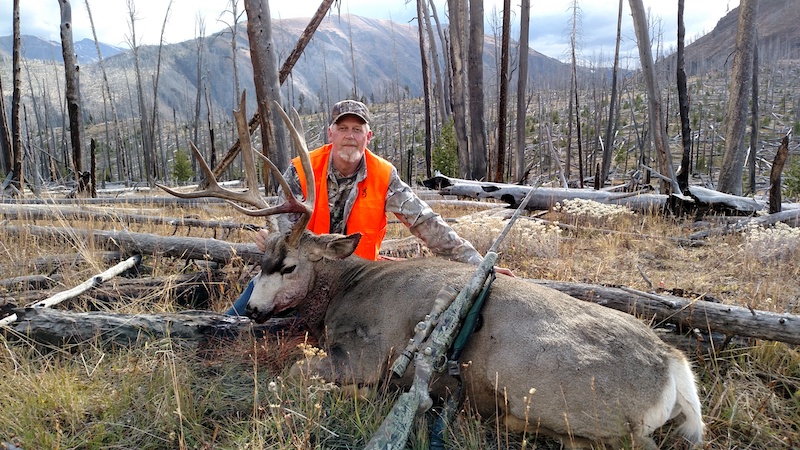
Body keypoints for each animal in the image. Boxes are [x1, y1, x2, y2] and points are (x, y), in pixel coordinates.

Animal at [159, 96, 705, 450]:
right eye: (260, 263)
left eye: (289, 265)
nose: (252, 309)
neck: (345, 289)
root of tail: (675, 366)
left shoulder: (367, 350)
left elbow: (295, 372)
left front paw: (361, 391)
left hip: (555, 390)